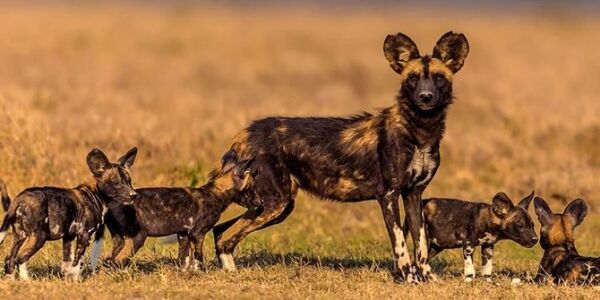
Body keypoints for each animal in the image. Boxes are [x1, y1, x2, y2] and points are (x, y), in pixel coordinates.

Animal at [0, 148, 137, 282]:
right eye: (116, 183)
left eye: (129, 181)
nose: (133, 195)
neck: (95, 194)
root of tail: (19, 199)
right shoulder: (84, 235)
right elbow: (77, 263)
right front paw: (76, 281)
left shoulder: (68, 237)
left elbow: (67, 263)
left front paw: (67, 280)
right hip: (38, 237)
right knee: (20, 258)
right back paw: (27, 281)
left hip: (19, 236)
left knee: (9, 259)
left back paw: (10, 281)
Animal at [213, 31, 472, 282]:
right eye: (413, 79)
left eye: (438, 78)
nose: (425, 97)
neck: (420, 131)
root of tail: (245, 133)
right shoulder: (388, 195)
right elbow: (400, 242)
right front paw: (409, 278)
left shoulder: (413, 194)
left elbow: (421, 244)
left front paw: (427, 278)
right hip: (276, 203)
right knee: (227, 237)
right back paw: (232, 275)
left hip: (273, 206)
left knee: (220, 231)